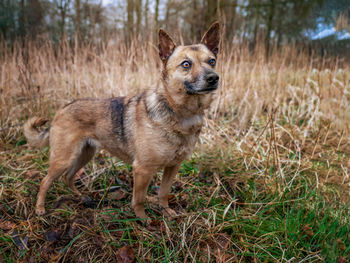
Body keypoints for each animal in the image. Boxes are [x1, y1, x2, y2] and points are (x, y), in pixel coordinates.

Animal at [23, 21, 221, 220]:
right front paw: (142, 219)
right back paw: (40, 208)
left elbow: (164, 193)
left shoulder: (173, 166)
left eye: (212, 61)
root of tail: (63, 108)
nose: (213, 78)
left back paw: (81, 197)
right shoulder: (142, 169)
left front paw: (166, 212)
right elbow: (139, 199)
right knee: (45, 181)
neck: (180, 112)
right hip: (64, 158)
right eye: (186, 64)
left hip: (85, 154)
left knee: (68, 177)